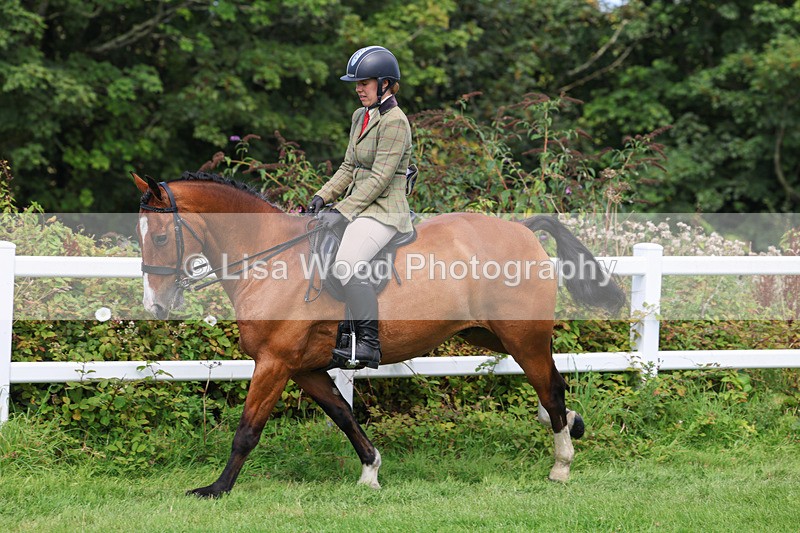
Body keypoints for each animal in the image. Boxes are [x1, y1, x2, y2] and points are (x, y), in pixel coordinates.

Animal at [133, 171, 624, 497]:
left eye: (159, 238)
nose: (156, 306)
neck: (271, 258)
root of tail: (522, 229)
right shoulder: (305, 367)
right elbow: (344, 416)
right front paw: (370, 471)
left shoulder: (274, 362)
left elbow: (247, 431)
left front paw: (215, 488)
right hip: (490, 335)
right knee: (550, 386)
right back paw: (570, 426)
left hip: (522, 337)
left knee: (550, 387)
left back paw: (561, 464)